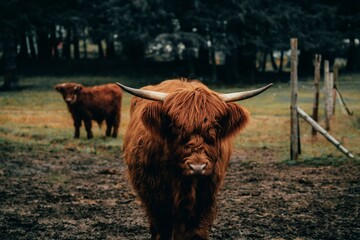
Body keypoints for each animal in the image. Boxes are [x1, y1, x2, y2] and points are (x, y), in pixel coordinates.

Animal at [116, 78, 272, 238]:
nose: (197, 167)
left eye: (215, 126)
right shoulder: (156, 198)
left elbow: (195, 231)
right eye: (176, 127)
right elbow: (163, 229)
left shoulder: (206, 198)